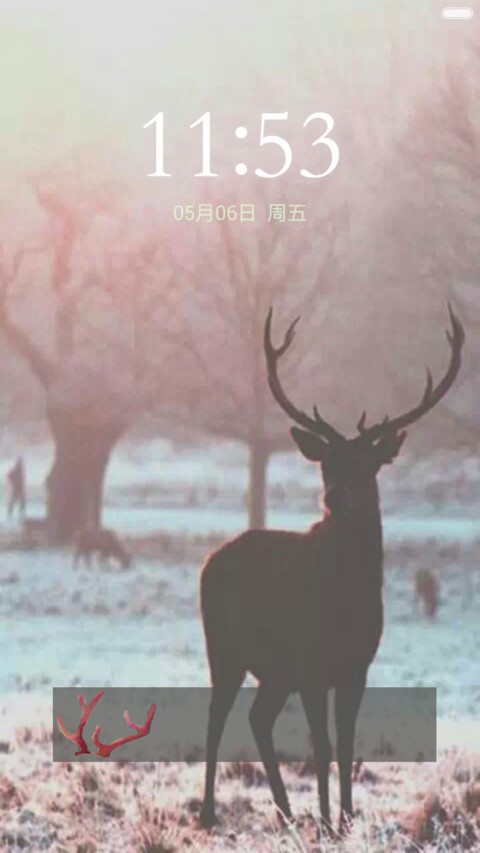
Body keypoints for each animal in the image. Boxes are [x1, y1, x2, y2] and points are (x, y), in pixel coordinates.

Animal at [199, 304, 464, 836]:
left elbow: (345, 746)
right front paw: (326, 820)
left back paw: (284, 810)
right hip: (225, 646)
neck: (347, 603)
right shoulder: (310, 664)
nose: (335, 496)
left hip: (274, 668)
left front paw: (343, 818)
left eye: (367, 465)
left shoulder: (357, 666)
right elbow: (320, 747)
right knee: (218, 717)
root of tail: (209, 561)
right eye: (327, 464)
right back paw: (209, 812)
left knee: (258, 717)